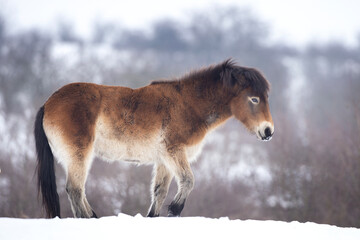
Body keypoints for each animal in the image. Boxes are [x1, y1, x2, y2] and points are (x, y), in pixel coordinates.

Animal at [35, 59, 274, 218]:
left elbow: (159, 191)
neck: (189, 105)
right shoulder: (174, 152)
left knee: (77, 190)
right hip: (79, 153)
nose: (268, 131)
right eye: (254, 99)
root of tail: (48, 103)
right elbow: (188, 180)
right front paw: (175, 209)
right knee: (75, 189)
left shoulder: (164, 160)